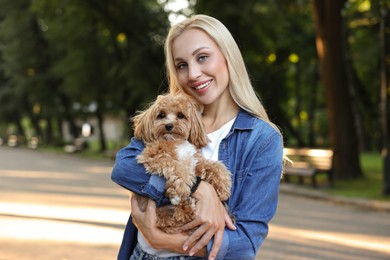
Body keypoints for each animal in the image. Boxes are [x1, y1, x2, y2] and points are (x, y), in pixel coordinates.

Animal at [133, 93, 232, 234]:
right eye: (161, 115)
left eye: (180, 115)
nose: (168, 125)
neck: (177, 141)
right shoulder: (152, 156)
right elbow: (177, 167)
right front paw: (182, 186)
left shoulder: (195, 163)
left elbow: (215, 166)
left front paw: (223, 187)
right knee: (174, 219)